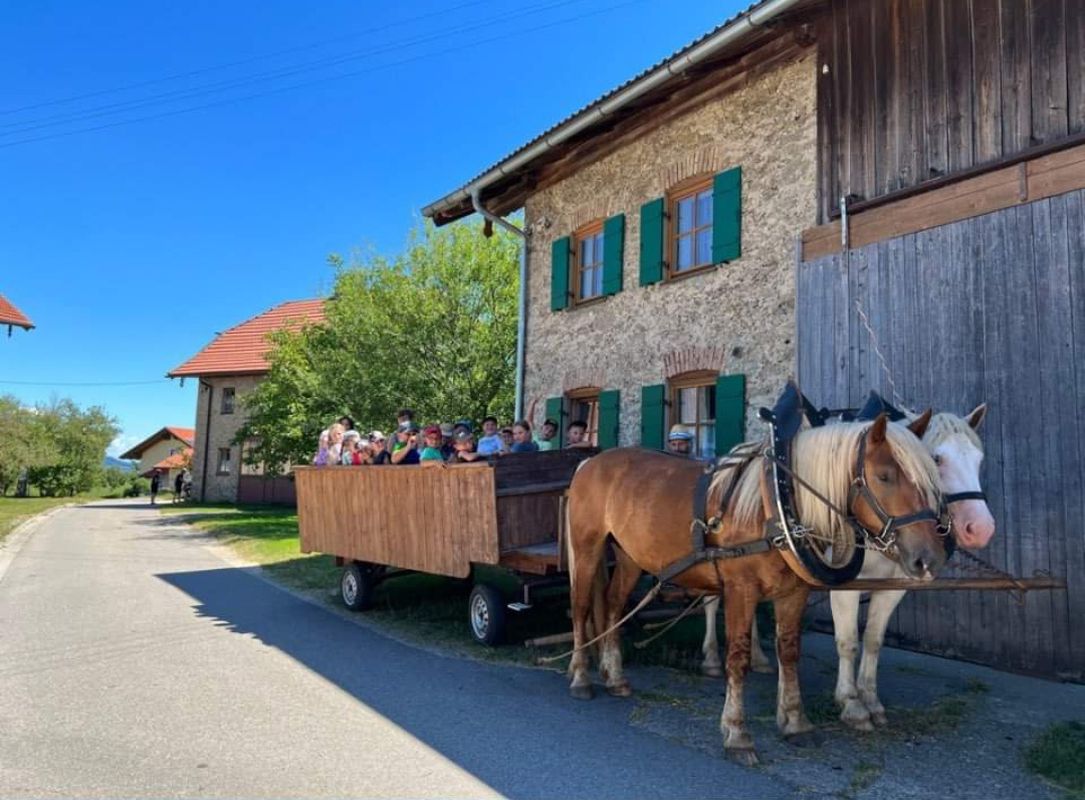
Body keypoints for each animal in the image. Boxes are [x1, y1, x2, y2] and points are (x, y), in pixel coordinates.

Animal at [564, 414, 946, 764]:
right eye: (884, 476)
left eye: (930, 478)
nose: (929, 559)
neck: (776, 507)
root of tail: (590, 462)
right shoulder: (740, 589)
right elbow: (738, 657)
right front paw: (737, 733)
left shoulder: (795, 592)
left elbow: (788, 653)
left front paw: (795, 723)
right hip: (587, 548)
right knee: (581, 608)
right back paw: (581, 676)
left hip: (629, 556)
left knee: (614, 605)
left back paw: (614, 676)